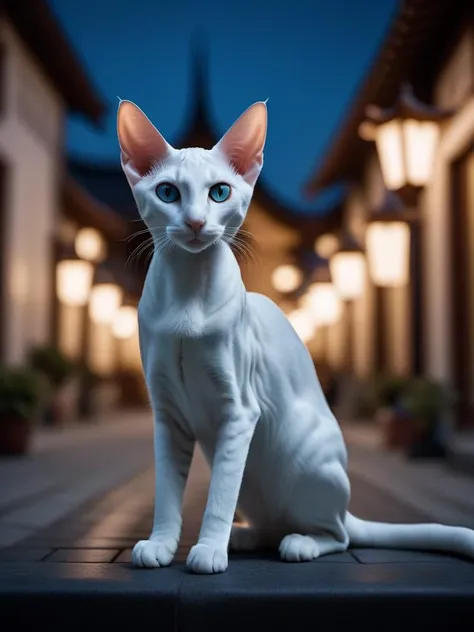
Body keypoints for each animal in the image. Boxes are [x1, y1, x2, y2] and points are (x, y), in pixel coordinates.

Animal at [116, 97, 474, 572]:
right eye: (168, 193)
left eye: (219, 192)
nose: (194, 223)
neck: (187, 300)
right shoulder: (168, 414)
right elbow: (168, 494)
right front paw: (161, 544)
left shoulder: (239, 410)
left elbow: (218, 496)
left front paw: (208, 550)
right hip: (256, 481)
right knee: (274, 522)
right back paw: (245, 536)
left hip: (305, 460)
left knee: (337, 535)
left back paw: (297, 544)